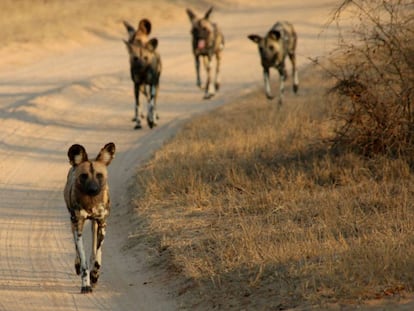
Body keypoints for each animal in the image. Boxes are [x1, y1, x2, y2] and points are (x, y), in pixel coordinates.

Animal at [64, 143, 116, 294]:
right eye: (84, 176)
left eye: (99, 175)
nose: (93, 189)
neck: (91, 202)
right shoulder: (78, 225)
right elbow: (83, 260)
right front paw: (85, 284)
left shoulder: (102, 223)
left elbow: (97, 256)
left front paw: (94, 276)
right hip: (73, 222)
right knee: (77, 248)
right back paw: (77, 265)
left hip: (96, 225)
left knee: (95, 250)